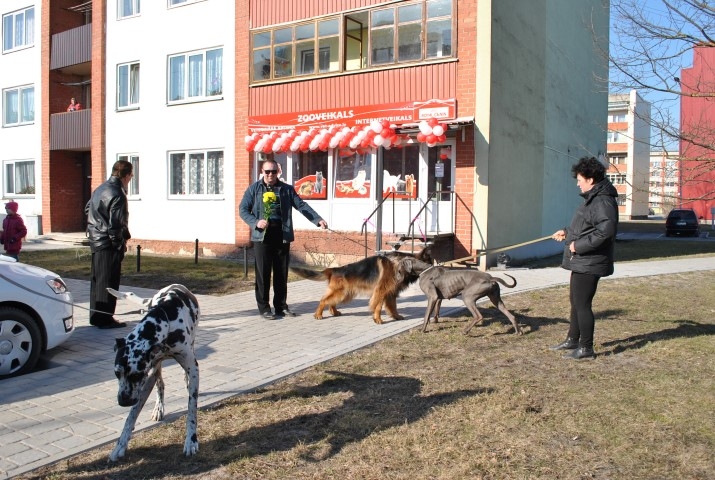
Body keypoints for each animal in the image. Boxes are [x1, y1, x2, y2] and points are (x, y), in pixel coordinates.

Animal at [107, 284, 200, 462]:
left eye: (136, 375)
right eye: (116, 373)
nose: (123, 401)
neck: (165, 318)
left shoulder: (192, 367)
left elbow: (192, 408)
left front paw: (191, 441)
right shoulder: (148, 376)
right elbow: (132, 415)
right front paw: (120, 445)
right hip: (156, 371)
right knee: (160, 385)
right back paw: (158, 408)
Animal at [290, 249, 430, 324]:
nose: (432, 268)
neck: (399, 264)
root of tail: (335, 269)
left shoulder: (390, 293)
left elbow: (393, 307)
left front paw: (396, 316)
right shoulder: (380, 292)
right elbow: (378, 307)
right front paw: (377, 319)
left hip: (345, 294)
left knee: (331, 302)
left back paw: (334, 312)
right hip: (341, 293)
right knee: (323, 300)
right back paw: (318, 314)